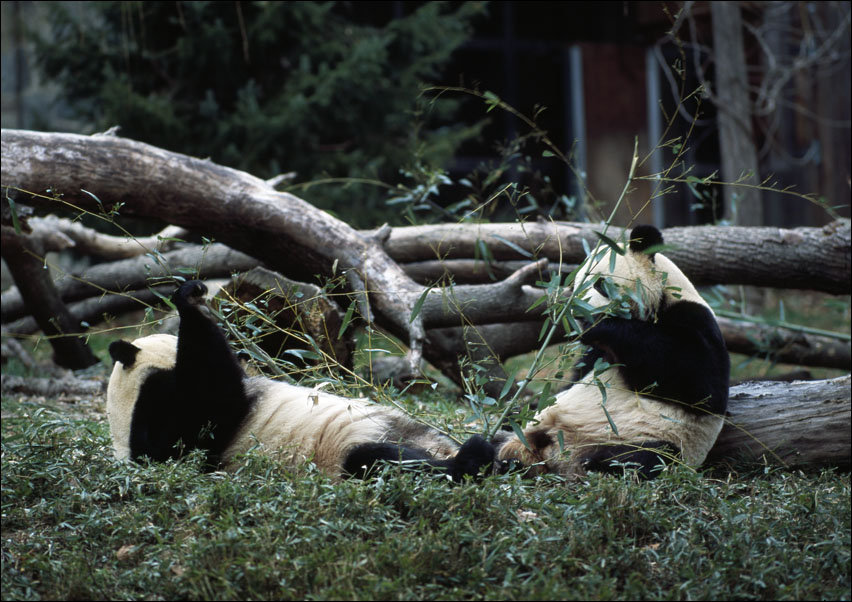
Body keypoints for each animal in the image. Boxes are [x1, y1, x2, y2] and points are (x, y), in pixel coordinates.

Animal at [106, 280, 495, 481]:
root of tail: (439, 446)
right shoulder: (163, 414)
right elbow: (214, 397)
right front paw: (188, 297)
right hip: (347, 455)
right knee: (382, 461)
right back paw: (473, 458)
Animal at [494, 225, 729, 479]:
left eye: (600, 284)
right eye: (575, 286)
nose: (578, 313)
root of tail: (554, 455)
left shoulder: (694, 319)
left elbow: (699, 383)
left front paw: (599, 324)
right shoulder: (594, 355)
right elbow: (573, 380)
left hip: (652, 438)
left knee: (649, 456)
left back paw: (596, 464)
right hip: (522, 433)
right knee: (497, 437)